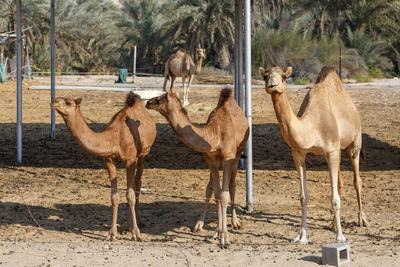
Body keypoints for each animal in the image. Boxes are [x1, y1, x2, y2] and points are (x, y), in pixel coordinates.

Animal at [50, 92, 156, 243]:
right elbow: (114, 197)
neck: (113, 138)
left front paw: (136, 234)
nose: (53, 101)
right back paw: (126, 226)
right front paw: (112, 234)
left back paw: (138, 223)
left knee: (137, 183)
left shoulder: (129, 159)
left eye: (69, 102)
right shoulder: (109, 160)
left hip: (144, 153)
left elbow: (129, 195)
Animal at [145, 89, 248, 248]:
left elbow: (224, 195)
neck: (215, 134)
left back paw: (235, 223)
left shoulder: (228, 157)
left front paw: (224, 237)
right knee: (211, 188)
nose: (148, 102)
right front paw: (218, 232)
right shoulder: (210, 159)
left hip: (238, 153)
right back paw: (201, 225)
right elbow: (217, 194)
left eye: (162, 98)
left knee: (232, 185)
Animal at [260, 65, 368, 245]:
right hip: (339, 150)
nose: (272, 85)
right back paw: (332, 223)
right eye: (265, 76)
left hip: (354, 143)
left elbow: (334, 198)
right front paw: (301, 236)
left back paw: (362, 220)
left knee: (357, 180)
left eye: (284, 77)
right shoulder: (298, 153)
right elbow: (304, 196)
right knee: (340, 183)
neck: (312, 127)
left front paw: (340, 237)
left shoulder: (331, 151)